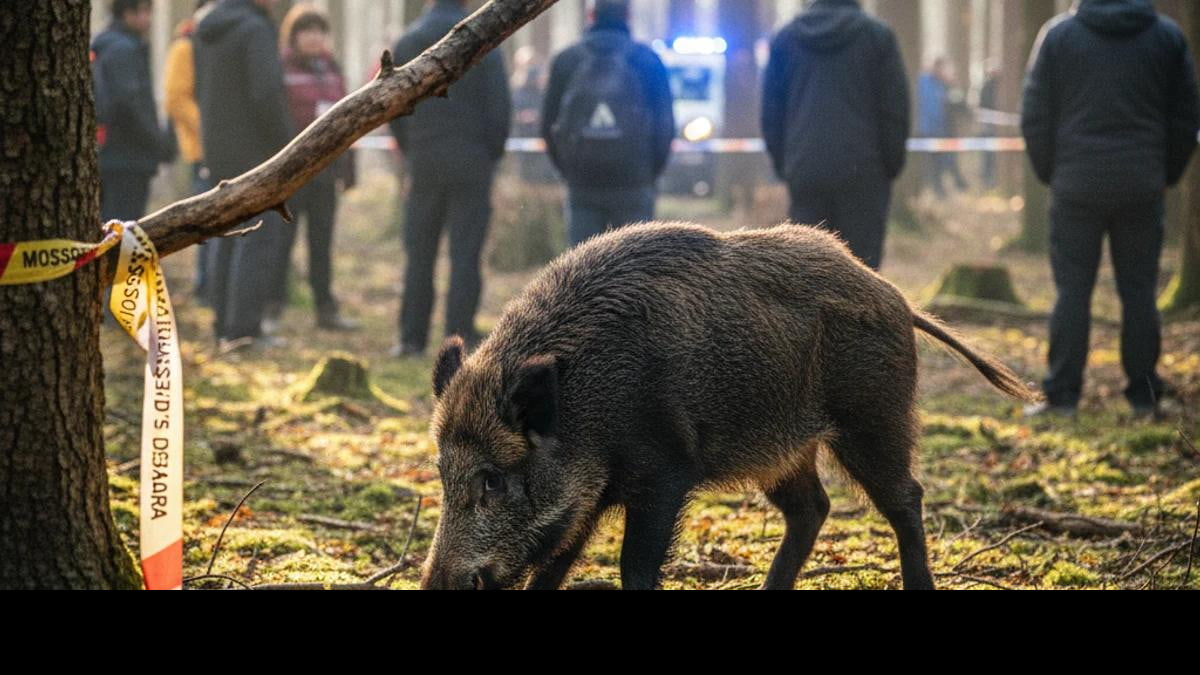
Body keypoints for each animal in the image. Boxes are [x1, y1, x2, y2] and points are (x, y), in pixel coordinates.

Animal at [421, 222, 1037, 590]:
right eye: (442, 474)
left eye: (493, 479)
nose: (437, 583)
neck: (584, 409)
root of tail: (898, 298)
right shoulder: (584, 502)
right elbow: (551, 568)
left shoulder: (665, 470)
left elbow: (634, 568)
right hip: (781, 449)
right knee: (812, 507)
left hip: (873, 417)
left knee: (905, 497)